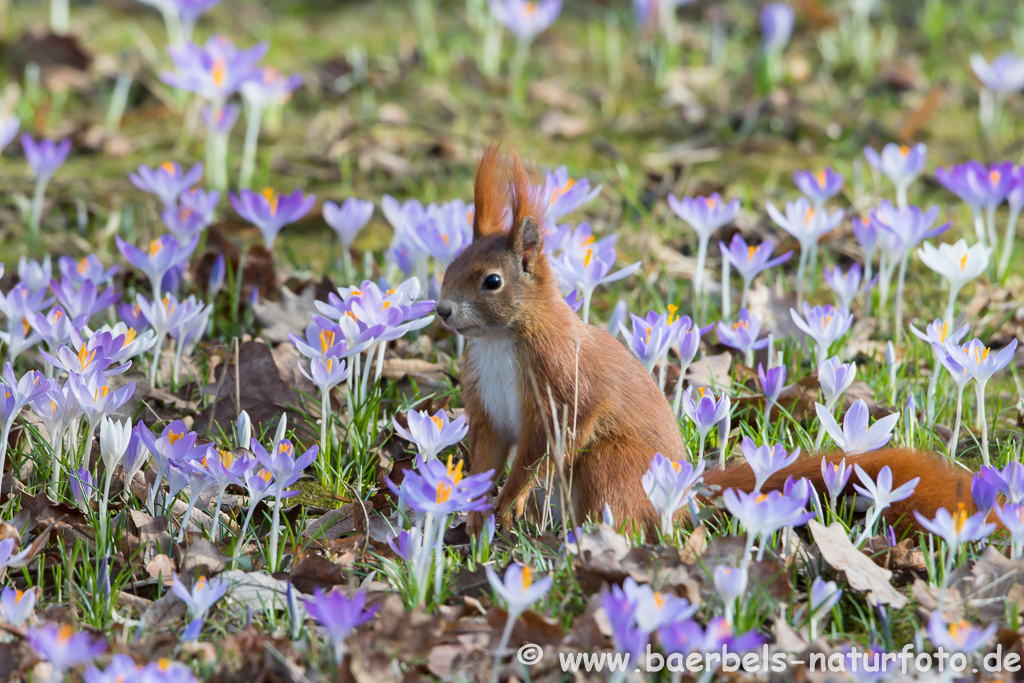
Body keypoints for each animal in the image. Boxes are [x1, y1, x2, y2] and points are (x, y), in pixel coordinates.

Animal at [434, 145, 974, 540]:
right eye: (451, 265)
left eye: (492, 282)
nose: (441, 310)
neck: (500, 340)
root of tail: (685, 495)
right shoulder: (486, 405)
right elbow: (487, 455)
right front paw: (477, 516)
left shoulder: (561, 388)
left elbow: (541, 452)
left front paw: (508, 503)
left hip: (614, 465)